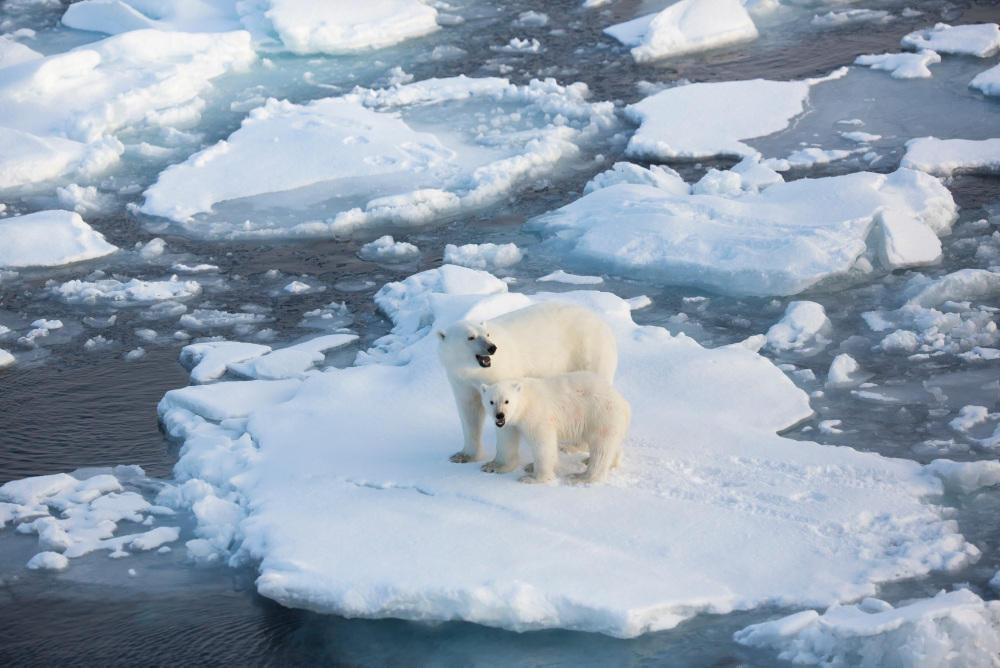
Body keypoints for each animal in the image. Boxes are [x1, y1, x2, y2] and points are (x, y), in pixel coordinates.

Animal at [438, 302, 616, 470]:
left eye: (487, 334)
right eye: (470, 337)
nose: (492, 347)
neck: (475, 370)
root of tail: (603, 323)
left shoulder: (500, 373)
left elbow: (507, 410)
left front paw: (496, 465)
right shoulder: (461, 380)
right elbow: (470, 411)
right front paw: (464, 455)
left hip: (588, 352)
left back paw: (573, 446)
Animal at [478, 370, 628, 486]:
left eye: (507, 401)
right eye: (491, 401)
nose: (499, 415)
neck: (525, 399)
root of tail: (623, 402)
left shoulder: (536, 413)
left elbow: (543, 442)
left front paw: (533, 478)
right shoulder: (511, 421)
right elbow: (506, 438)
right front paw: (493, 466)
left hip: (601, 414)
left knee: (601, 448)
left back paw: (580, 477)